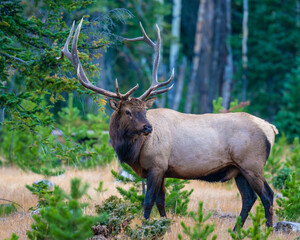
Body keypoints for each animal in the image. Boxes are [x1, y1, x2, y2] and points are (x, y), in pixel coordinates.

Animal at [59, 19, 278, 229]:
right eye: (128, 111)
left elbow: (148, 201)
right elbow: (161, 202)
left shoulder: (157, 165)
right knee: (249, 198)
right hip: (238, 169)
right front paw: (164, 226)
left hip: (252, 163)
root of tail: (271, 129)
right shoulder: (162, 170)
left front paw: (146, 227)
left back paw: (267, 229)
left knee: (267, 195)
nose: (148, 127)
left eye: (144, 111)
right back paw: (236, 230)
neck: (133, 151)